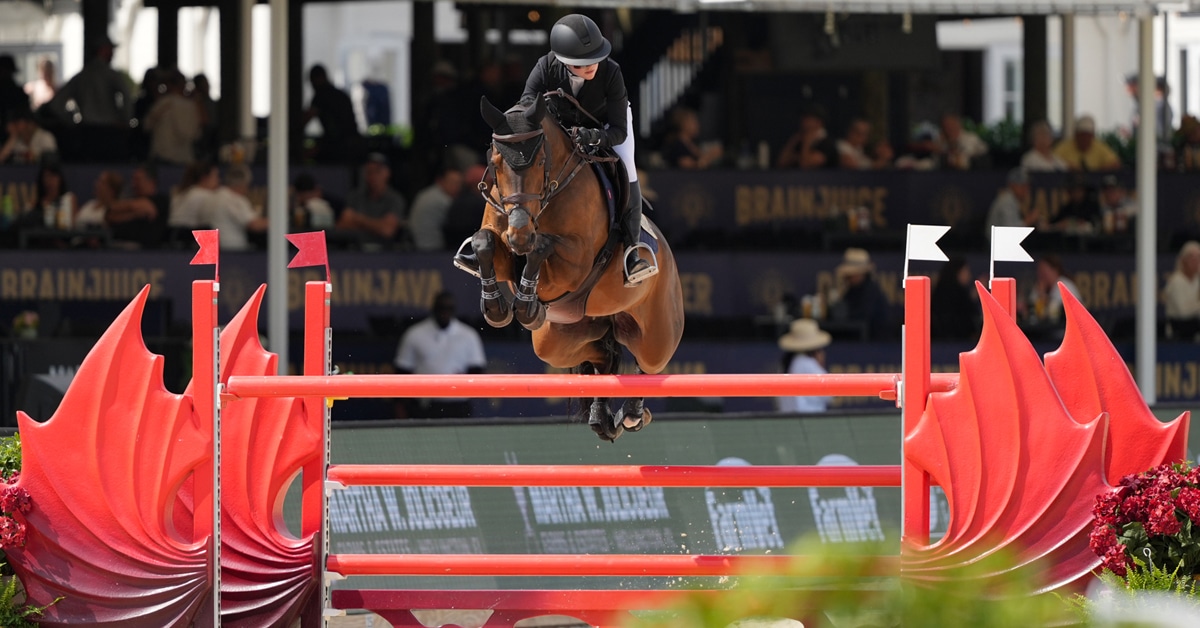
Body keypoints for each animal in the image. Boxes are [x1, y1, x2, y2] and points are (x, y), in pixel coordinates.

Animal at [457, 94, 684, 441]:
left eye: (540, 162)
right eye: (495, 162)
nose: (519, 233)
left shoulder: (574, 263)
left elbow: (542, 247)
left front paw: (526, 306)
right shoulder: (503, 244)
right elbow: (485, 242)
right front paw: (497, 307)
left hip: (657, 335)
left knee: (648, 364)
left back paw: (632, 412)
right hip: (558, 341)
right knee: (603, 356)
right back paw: (602, 414)